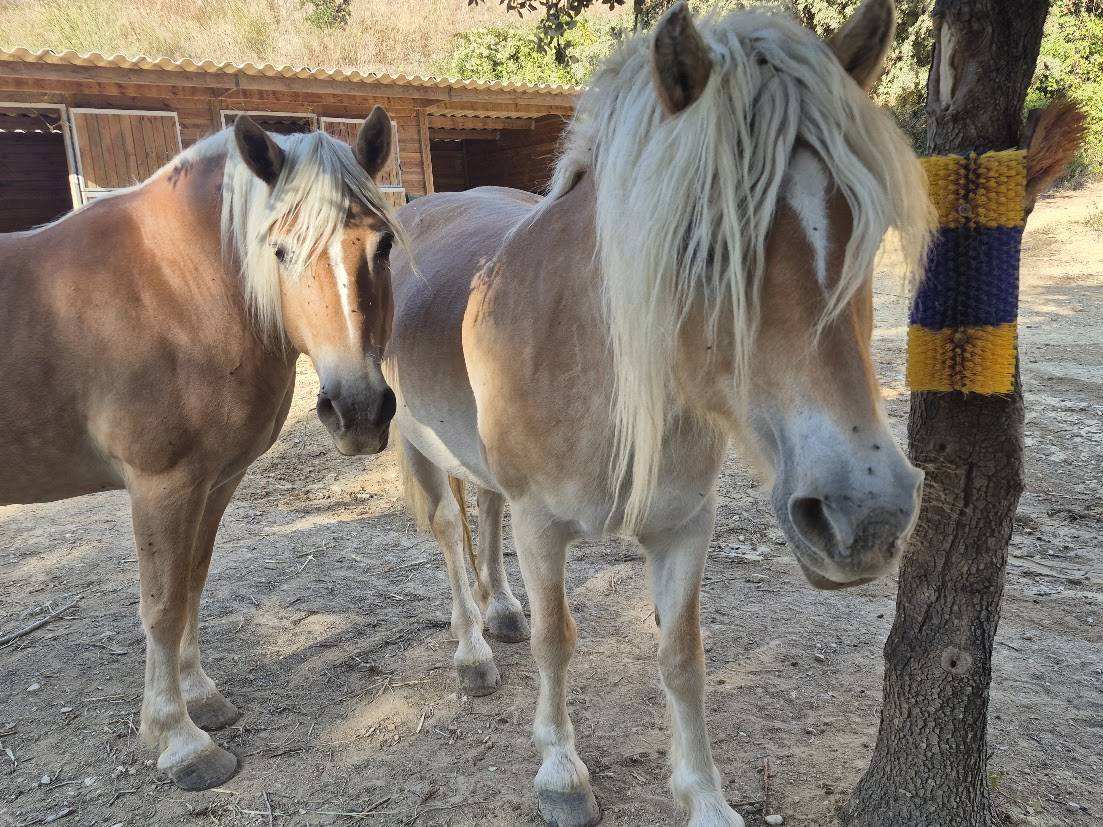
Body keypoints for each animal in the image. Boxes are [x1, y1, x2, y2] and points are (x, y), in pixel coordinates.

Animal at [0, 110, 400, 791]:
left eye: (384, 245)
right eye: (280, 250)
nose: (359, 411)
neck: (170, 284)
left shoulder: (212, 481)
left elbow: (191, 583)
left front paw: (201, 697)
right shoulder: (160, 484)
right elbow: (162, 606)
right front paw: (179, 740)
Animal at [384, 2, 934, 825]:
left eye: (862, 233)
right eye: (701, 245)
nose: (863, 514)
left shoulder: (682, 525)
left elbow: (682, 656)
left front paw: (704, 796)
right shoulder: (542, 523)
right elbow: (558, 639)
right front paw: (561, 773)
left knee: (481, 509)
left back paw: (501, 611)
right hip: (415, 444)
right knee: (449, 530)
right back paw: (474, 652)